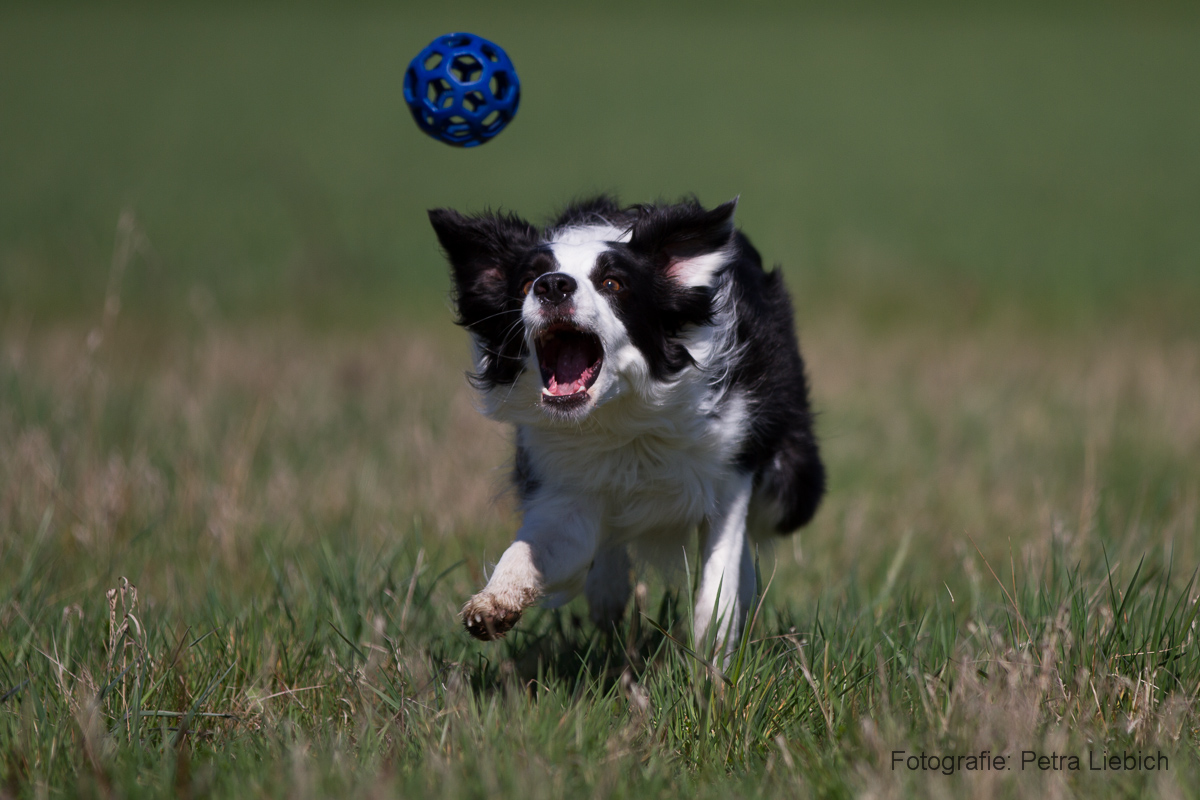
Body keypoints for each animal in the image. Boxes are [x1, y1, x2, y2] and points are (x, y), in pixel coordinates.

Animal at [432, 196, 825, 652]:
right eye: (528, 280)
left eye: (613, 284)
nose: (553, 285)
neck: (623, 418)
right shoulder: (567, 481)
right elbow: (536, 546)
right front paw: (493, 602)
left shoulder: (729, 472)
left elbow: (718, 581)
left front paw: (711, 660)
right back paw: (609, 590)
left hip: (791, 485)